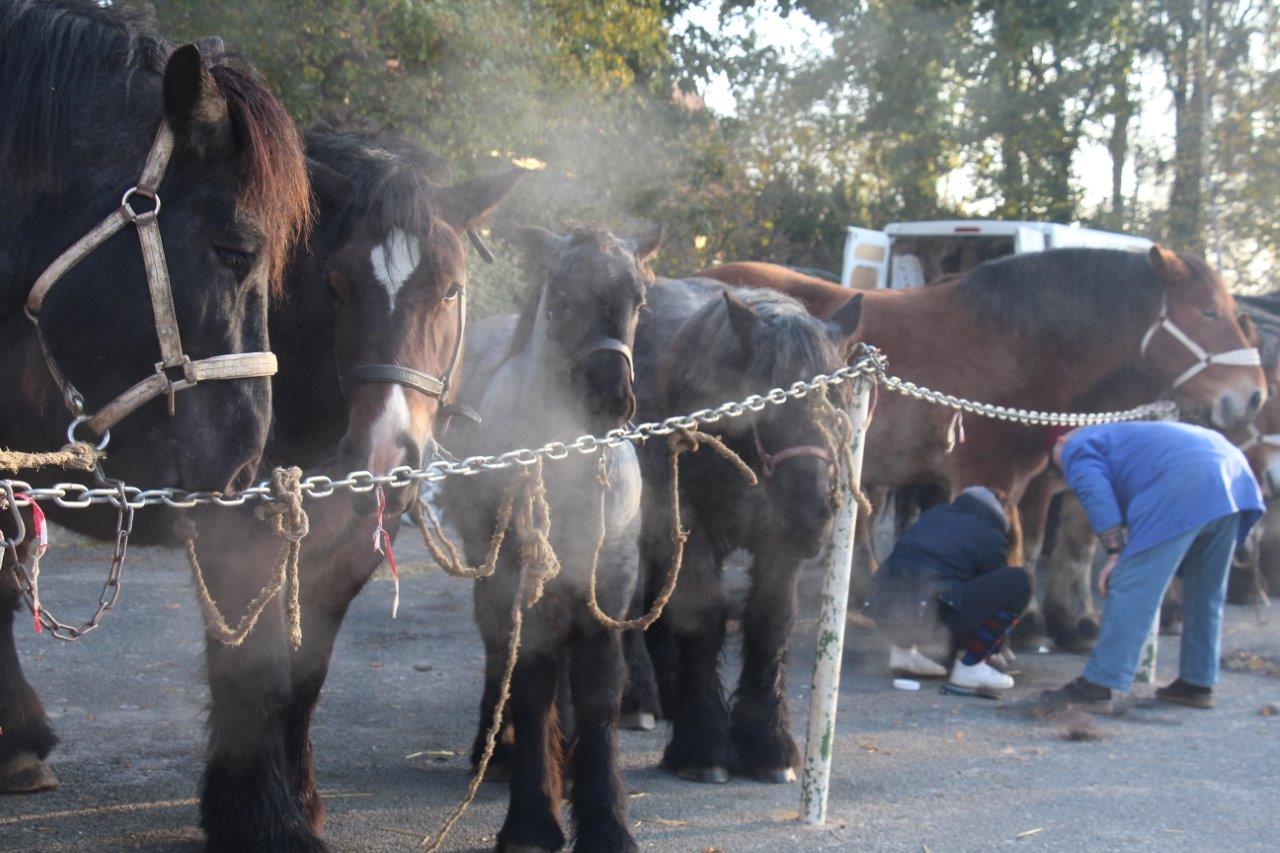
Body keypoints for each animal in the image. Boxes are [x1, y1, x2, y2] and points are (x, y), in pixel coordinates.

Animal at [186, 128, 524, 850]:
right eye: (335, 287)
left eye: (452, 290)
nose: (385, 455)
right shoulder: (234, 533)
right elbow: (248, 666)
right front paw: (254, 813)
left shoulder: (345, 550)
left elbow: (305, 672)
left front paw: (299, 796)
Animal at [442, 225, 660, 850]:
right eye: (559, 300)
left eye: (638, 302)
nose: (608, 396)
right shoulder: (518, 583)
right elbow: (531, 686)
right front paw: (532, 820)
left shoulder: (609, 588)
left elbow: (598, 694)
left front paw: (606, 820)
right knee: (499, 656)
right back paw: (496, 754)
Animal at [619, 277, 860, 783]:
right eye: (765, 402)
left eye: (841, 401)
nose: (812, 515)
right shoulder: (693, 533)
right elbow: (705, 620)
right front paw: (705, 746)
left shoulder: (778, 550)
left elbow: (771, 623)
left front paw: (767, 744)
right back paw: (639, 698)